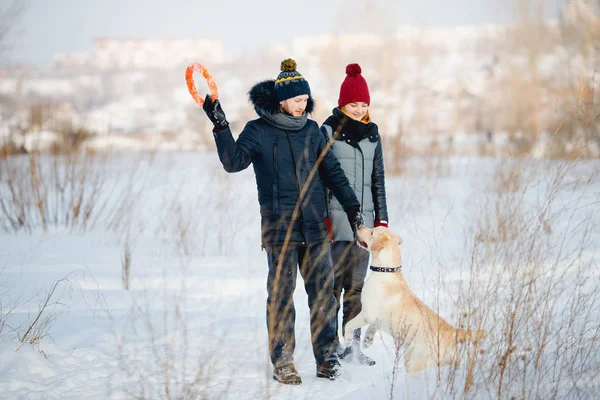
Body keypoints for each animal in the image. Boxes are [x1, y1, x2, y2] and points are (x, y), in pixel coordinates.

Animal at [344, 227, 486, 374]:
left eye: (372, 232)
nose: (359, 225)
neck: (386, 271)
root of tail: (452, 331)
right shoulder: (376, 318)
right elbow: (372, 326)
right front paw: (367, 340)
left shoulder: (368, 314)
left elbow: (349, 324)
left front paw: (347, 339)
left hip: (413, 361)